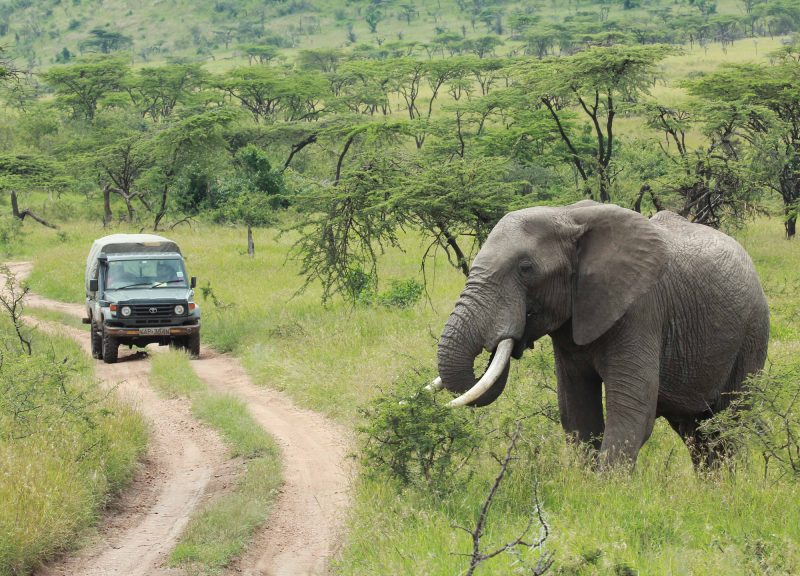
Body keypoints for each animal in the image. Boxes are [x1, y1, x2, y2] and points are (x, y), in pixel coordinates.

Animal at [433, 200, 769, 467]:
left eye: (526, 268)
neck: (566, 215)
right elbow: (577, 412)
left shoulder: (641, 310)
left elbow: (631, 412)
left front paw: (608, 492)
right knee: (696, 431)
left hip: (752, 334)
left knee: (730, 422)